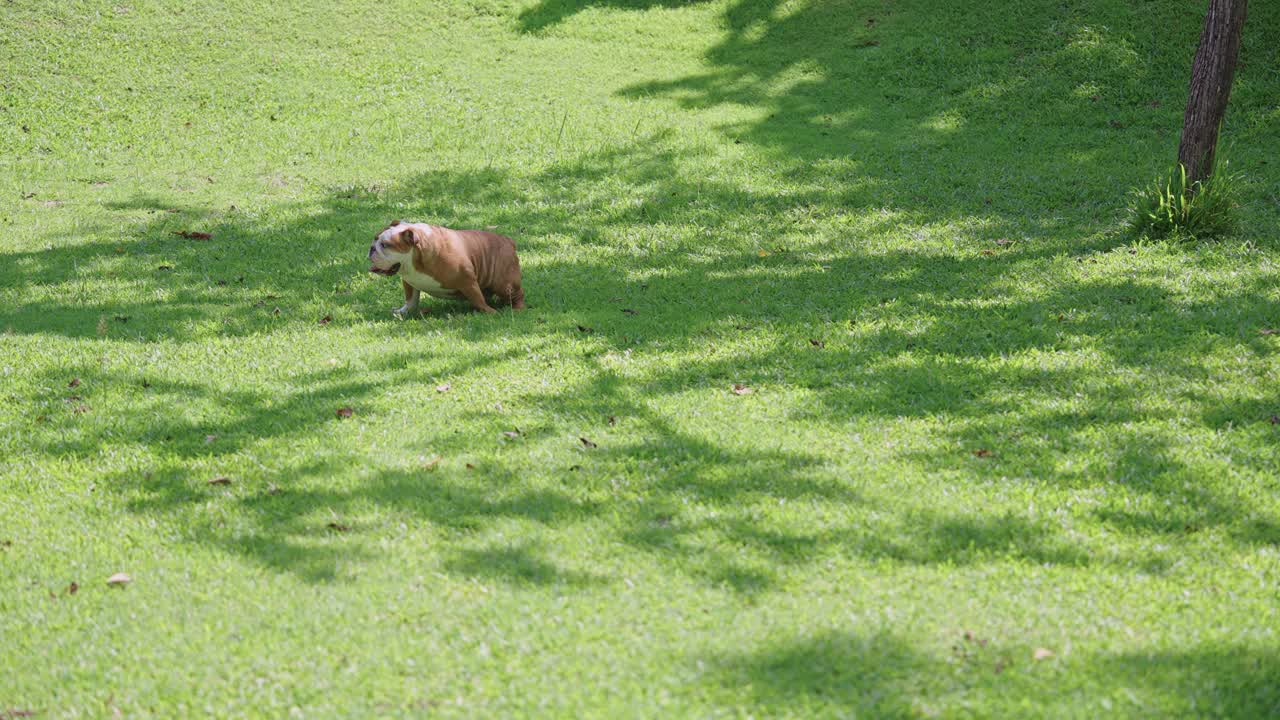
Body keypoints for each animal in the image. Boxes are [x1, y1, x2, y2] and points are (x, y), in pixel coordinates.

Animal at [371, 219, 524, 313]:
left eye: (385, 245)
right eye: (375, 238)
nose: (371, 248)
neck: (415, 261)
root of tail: (508, 241)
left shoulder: (467, 280)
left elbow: (477, 298)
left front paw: (490, 312)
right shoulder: (409, 282)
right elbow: (410, 300)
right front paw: (402, 312)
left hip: (504, 284)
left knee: (518, 295)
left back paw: (517, 309)